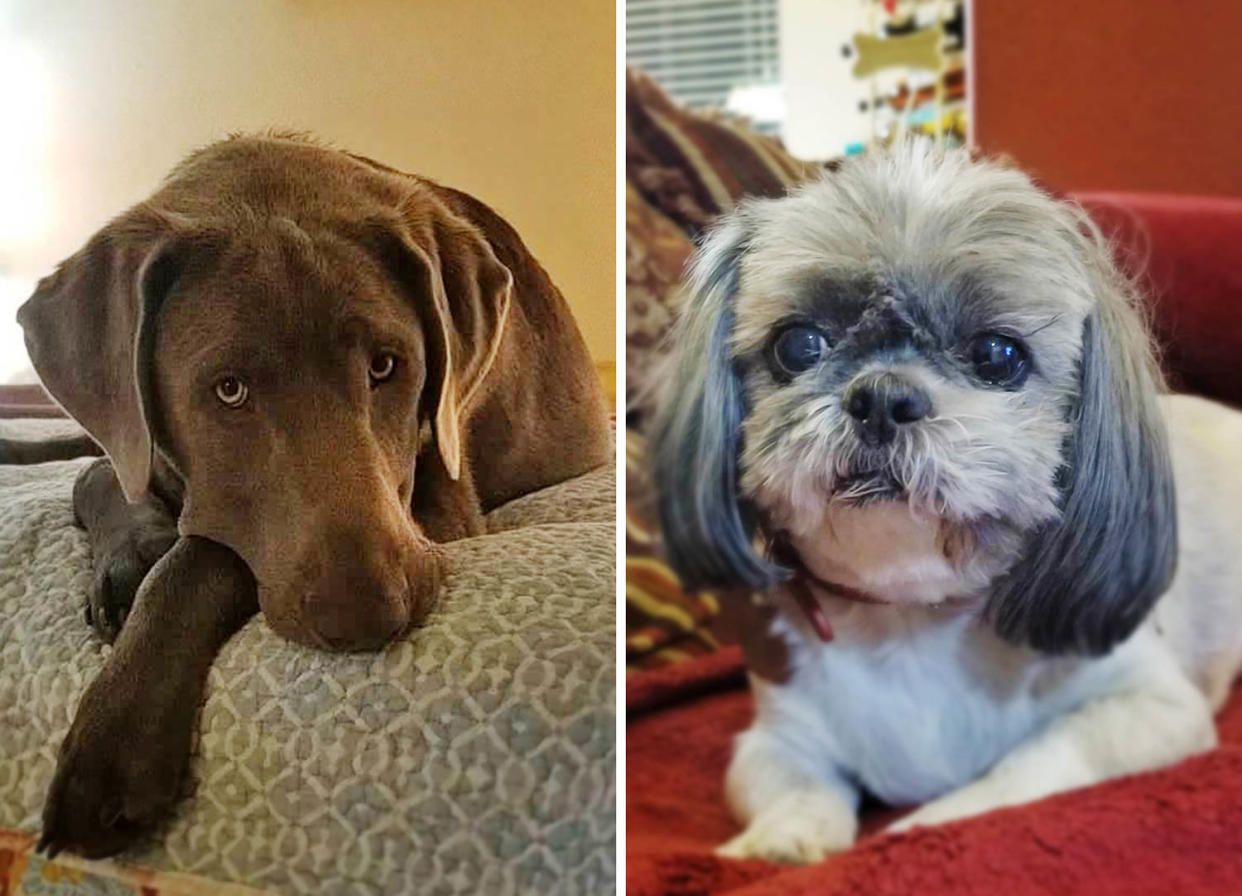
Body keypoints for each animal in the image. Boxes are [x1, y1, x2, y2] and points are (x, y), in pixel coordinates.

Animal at [8, 131, 611, 854]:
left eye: (385, 366)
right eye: (229, 390)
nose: (369, 617)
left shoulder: (438, 508)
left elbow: (207, 553)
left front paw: (120, 736)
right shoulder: (134, 441)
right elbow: (103, 475)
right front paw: (130, 562)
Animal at [645, 143, 1242, 864]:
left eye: (998, 355)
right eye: (798, 344)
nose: (882, 396)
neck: (912, 616)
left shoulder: (1150, 706)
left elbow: (1027, 767)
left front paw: (920, 829)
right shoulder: (779, 734)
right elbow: (799, 786)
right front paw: (782, 843)